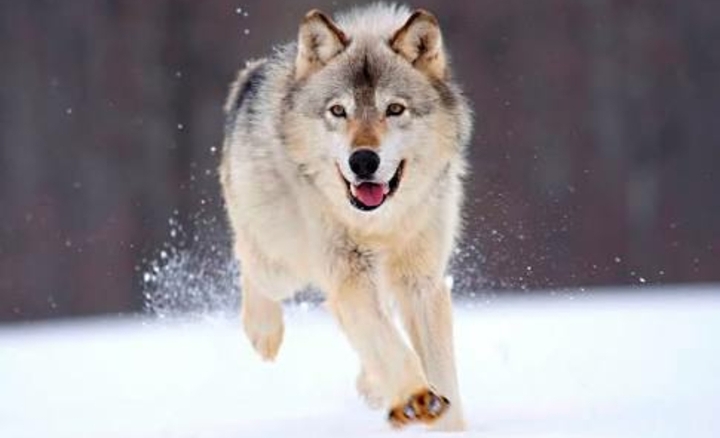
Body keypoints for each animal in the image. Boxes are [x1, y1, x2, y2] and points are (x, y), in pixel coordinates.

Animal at [219, 3, 472, 431]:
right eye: (338, 110)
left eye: (394, 109)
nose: (363, 161)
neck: (380, 224)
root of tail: (250, 75)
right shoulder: (349, 275)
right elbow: (388, 343)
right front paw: (415, 397)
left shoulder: (422, 282)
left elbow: (439, 370)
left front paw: (444, 421)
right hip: (282, 262)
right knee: (250, 261)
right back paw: (263, 333)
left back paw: (372, 387)